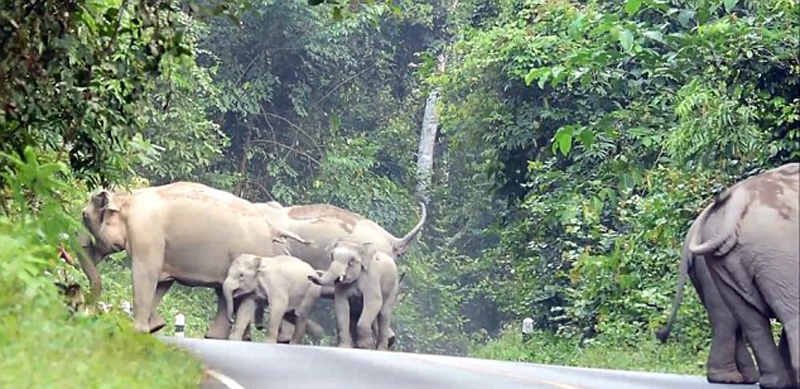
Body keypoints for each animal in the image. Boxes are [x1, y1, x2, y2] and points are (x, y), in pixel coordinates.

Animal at [76, 182, 306, 336]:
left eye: (84, 217)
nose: (87, 310)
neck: (129, 198)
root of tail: (269, 226)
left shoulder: (146, 233)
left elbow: (145, 274)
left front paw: (139, 330)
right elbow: (162, 283)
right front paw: (156, 326)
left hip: (248, 252)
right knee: (224, 295)